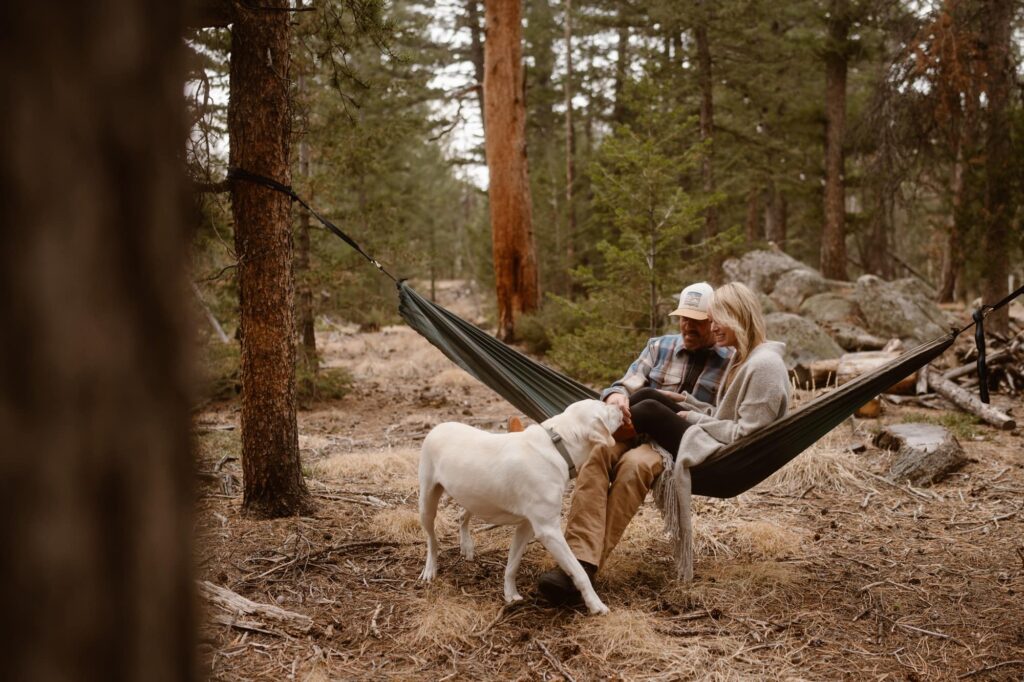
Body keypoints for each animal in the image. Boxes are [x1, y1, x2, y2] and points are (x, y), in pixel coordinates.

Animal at [417, 395, 622, 614]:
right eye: (604, 407)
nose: (620, 405)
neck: (559, 444)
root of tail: (437, 427)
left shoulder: (526, 526)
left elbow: (512, 564)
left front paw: (510, 594)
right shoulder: (548, 531)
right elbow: (578, 571)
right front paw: (595, 604)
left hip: (473, 496)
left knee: (462, 517)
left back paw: (467, 546)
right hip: (427, 503)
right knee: (432, 540)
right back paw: (430, 568)